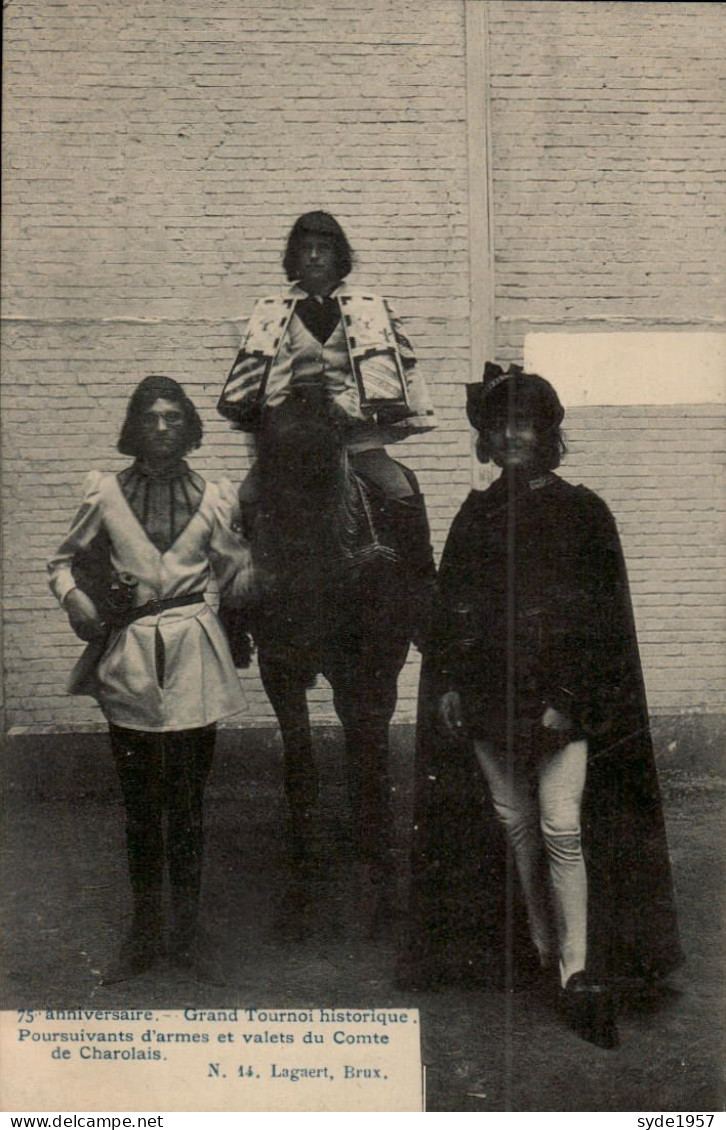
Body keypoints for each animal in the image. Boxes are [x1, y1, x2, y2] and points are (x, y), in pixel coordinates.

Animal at [223, 388, 431, 917]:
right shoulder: (280, 668)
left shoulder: (374, 666)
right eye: (270, 462)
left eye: (329, 448)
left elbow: (371, 747)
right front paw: (302, 867)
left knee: (364, 733)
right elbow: (300, 764)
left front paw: (379, 859)